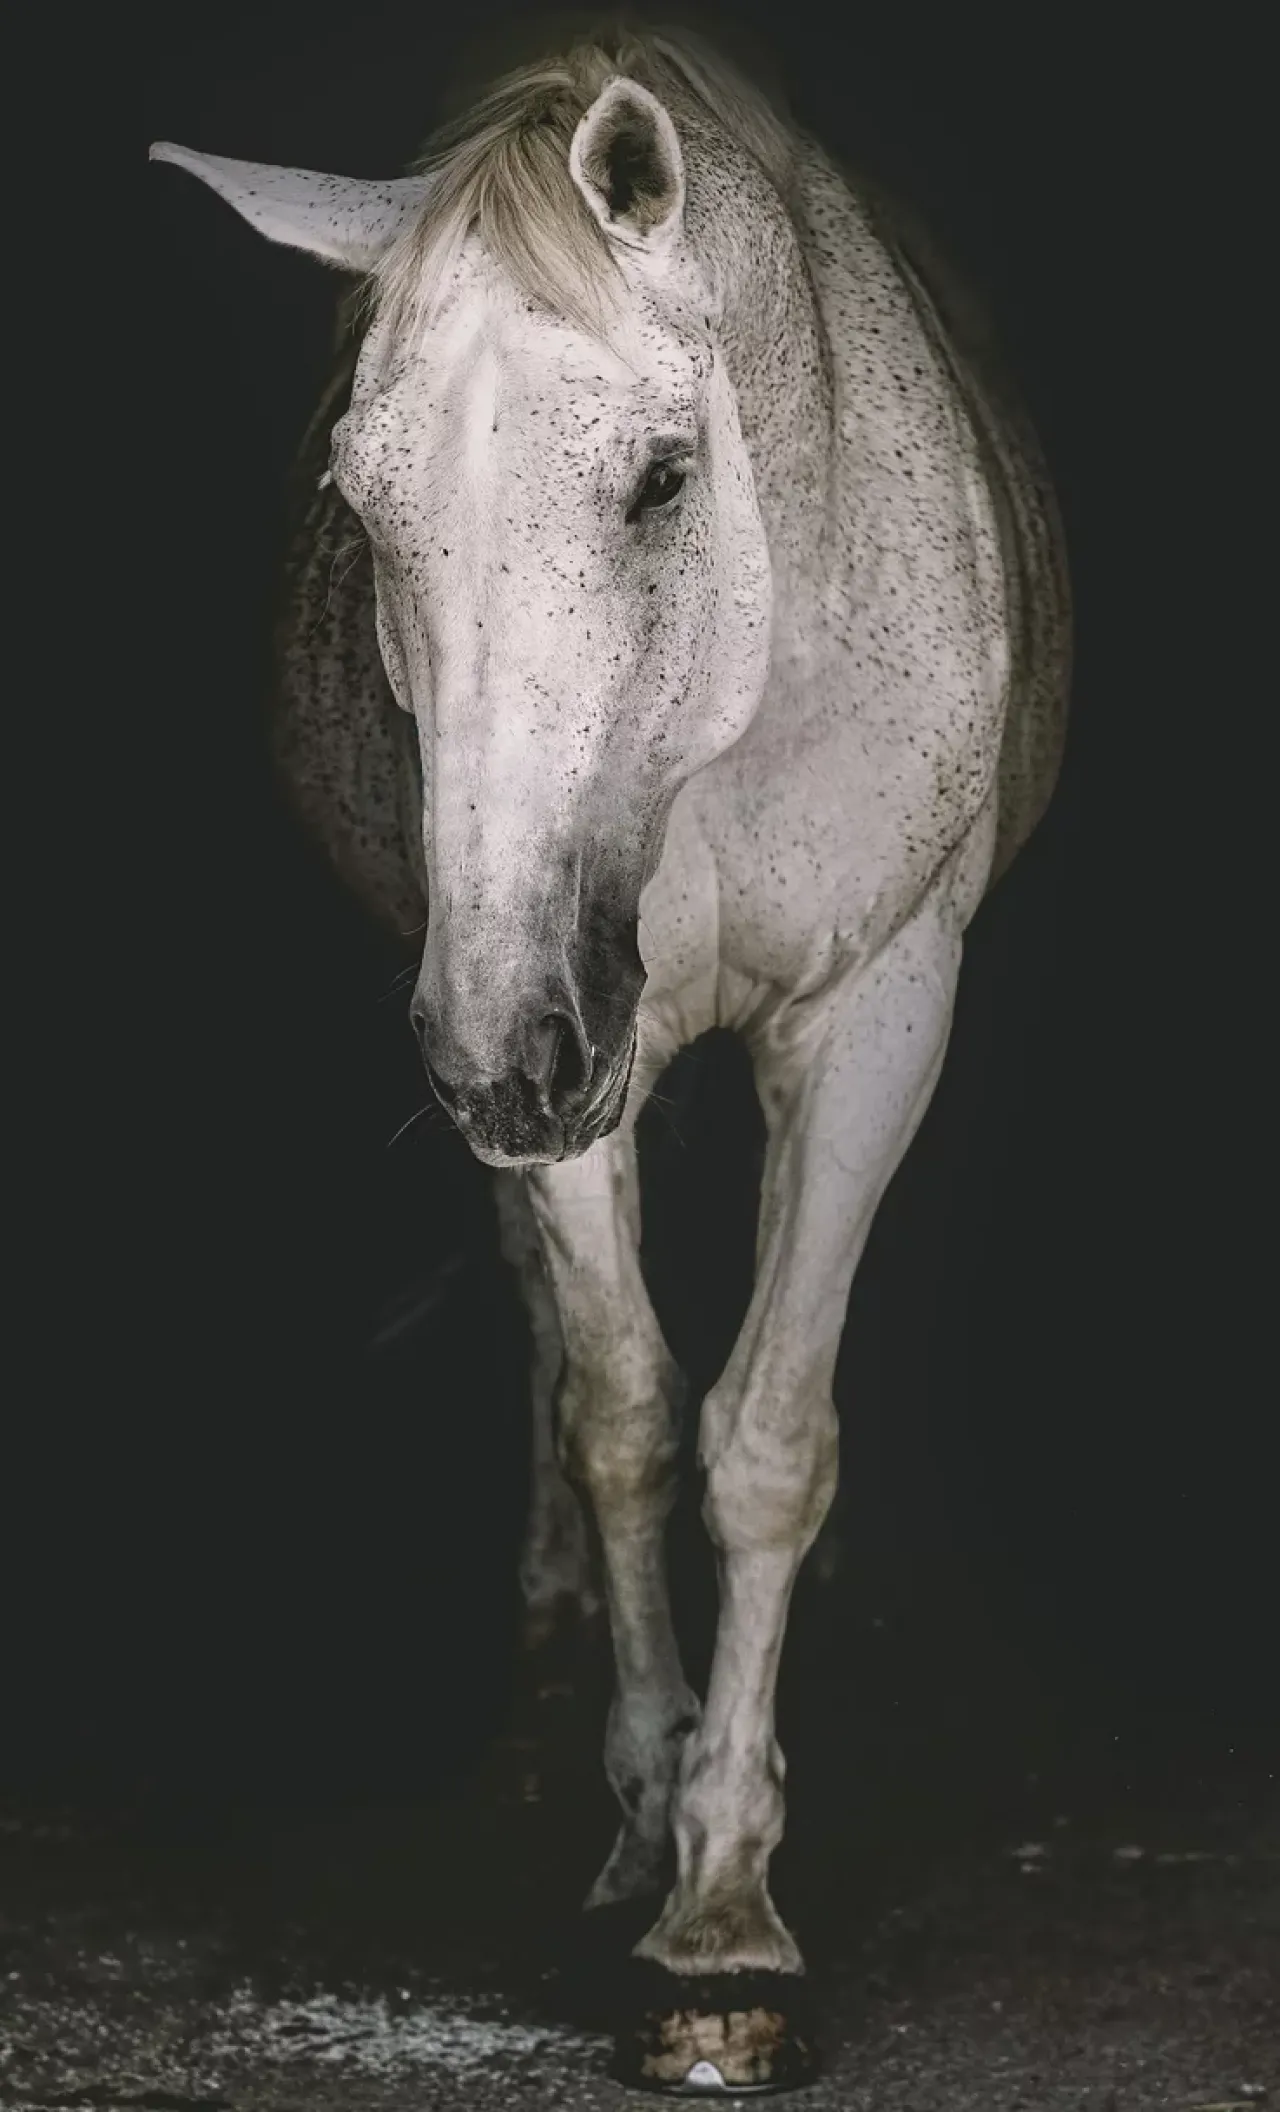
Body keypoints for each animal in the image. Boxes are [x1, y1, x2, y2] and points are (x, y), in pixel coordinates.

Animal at [152, 21, 1069, 2092]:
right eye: (363, 499)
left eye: (660, 479)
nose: (494, 1043)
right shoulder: (571, 1046)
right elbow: (632, 1412)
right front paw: (653, 1826)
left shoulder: (876, 1013)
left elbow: (770, 1439)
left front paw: (727, 1916)